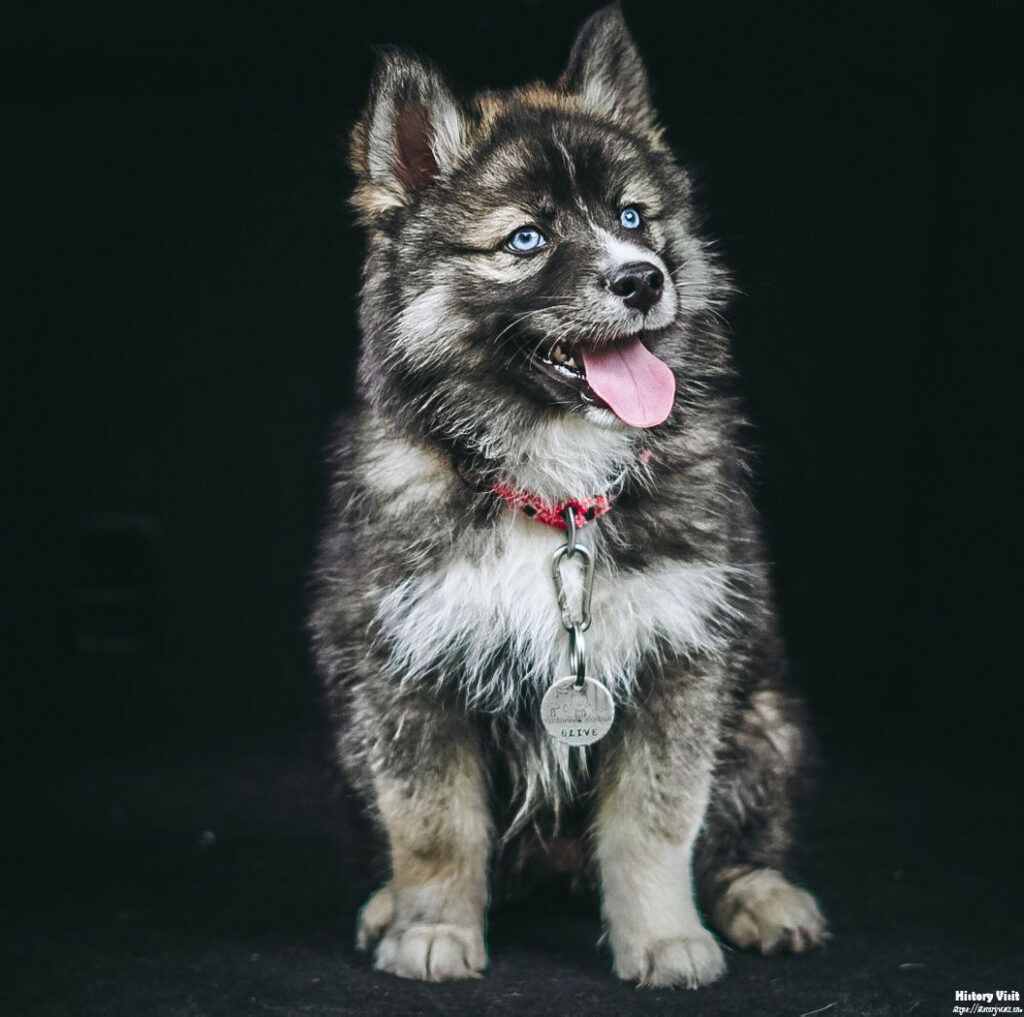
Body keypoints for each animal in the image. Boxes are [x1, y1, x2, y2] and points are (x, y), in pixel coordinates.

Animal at [309, 3, 823, 987]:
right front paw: (433, 927)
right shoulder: (406, 668)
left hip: (765, 722)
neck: (550, 482)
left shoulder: (679, 658)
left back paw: (762, 894)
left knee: (740, 834)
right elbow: (432, 824)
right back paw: (392, 902)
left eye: (632, 216)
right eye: (526, 239)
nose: (643, 278)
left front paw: (663, 937)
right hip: (350, 731)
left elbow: (658, 824)